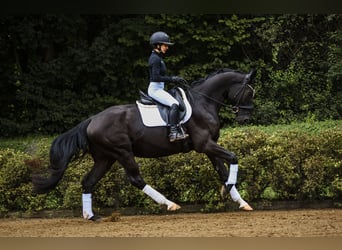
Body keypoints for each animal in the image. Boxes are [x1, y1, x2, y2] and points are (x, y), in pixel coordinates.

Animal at [32, 68, 256, 221]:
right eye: (249, 93)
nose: (245, 119)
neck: (203, 102)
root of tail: (92, 120)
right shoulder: (205, 144)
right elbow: (233, 158)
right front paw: (227, 191)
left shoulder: (210, 146)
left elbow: (223, 171)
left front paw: (240, 201)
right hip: (122, 152)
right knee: (135, 178)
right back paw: (169, 204)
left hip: (106, 157)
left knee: (88, 181)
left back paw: (91, 216)